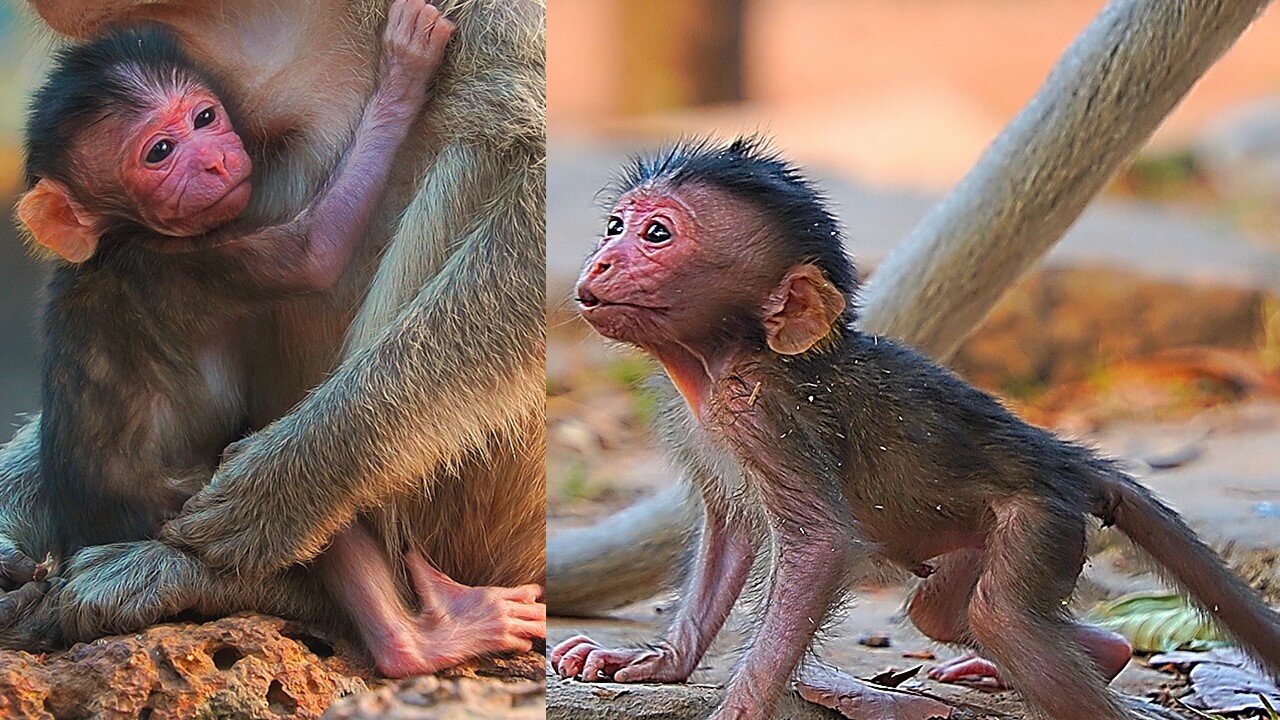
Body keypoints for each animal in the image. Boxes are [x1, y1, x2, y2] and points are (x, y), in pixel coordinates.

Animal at [16, 0, 540, 671]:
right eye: (159, 151)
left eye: (205, 117)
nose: (215, 161)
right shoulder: (201, 257)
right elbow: (314, 252)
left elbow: (529, 187)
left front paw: (280, 488)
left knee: (482, 146)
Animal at [552, 135, 1280, 717]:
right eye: (615, 225)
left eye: (656, 235)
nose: (600, 261)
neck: (724, 357)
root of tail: (1054, 455)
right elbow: (728, 536)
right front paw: (658, 662)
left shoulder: (761, 414)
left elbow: (819, 546)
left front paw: (743, 706)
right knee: (947, 611)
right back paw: (1101, 651)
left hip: (1040, 518)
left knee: (1000, 617)